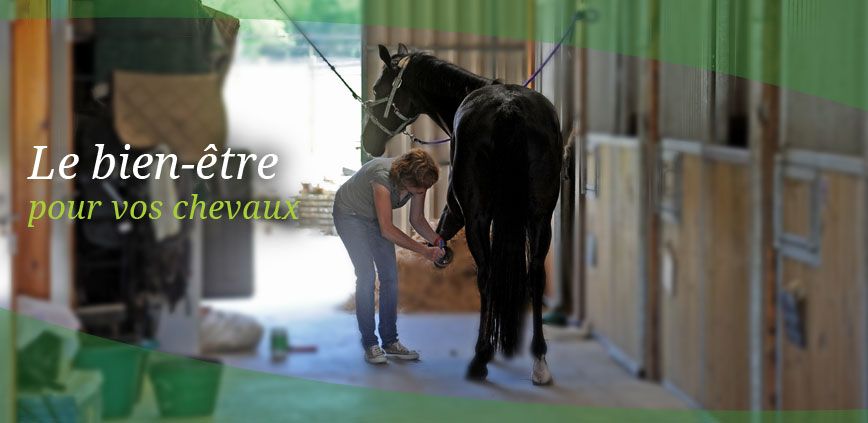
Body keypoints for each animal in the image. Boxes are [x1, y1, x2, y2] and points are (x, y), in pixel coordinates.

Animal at [361, 44, 564, 385]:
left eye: (378, 89)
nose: (367, 142)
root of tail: (509, 110)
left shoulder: (458, 208)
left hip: (479, 218)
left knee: (487, 276)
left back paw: (480, 358)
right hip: (540, 217)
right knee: (536, 276)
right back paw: (539, 361)